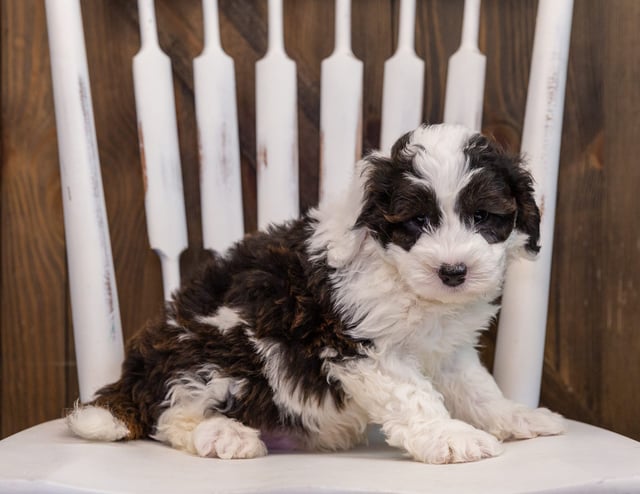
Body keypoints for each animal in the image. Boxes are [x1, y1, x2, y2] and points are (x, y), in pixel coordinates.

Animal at [66, 123, 564, 464]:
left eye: (483, 217)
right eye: (417, 222)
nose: (453, 272)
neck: (395, 269)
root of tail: (134, 374)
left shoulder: (449, 350)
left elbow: (479, 390)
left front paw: (515, 417)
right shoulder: (357, 344)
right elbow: (413, 394)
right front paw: (449, 437)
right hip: (217, 344)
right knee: (170, 413)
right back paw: (223, 434)